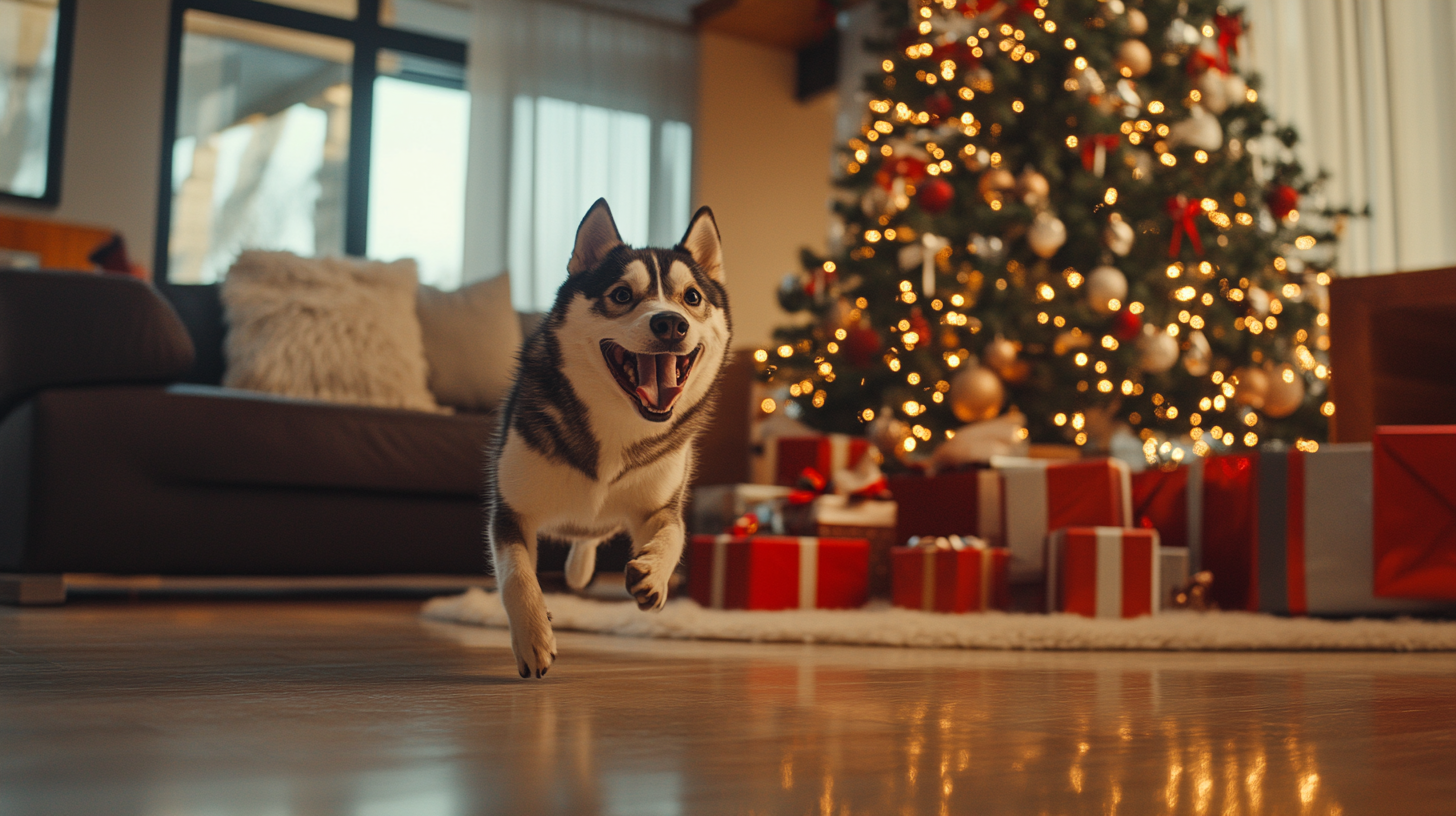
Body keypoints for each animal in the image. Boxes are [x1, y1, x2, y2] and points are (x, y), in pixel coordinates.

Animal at [489, 196, 733, 676]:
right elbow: (515, 574)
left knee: (593, 532)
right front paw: (533, 637)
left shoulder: (658, 504)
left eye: (692, 297)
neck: (618, 424)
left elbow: (675, 532)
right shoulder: (512, 510)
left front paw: (654, 574)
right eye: (622, 295)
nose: (670, 323)